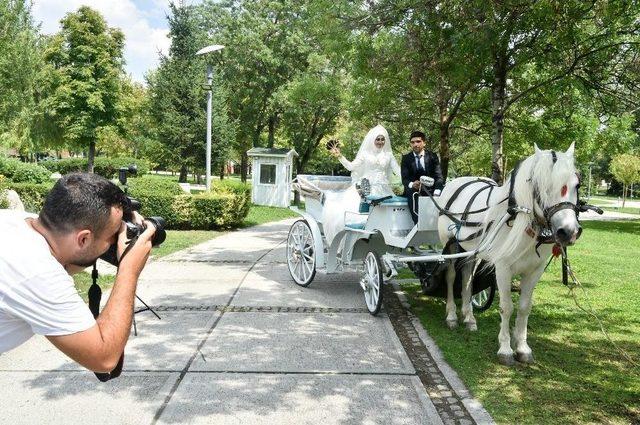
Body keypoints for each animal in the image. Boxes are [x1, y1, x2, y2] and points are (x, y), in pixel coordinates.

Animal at [438, 143, 584, 364]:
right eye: (541, 185)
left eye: (576, 185)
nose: (568, 232)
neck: (517, 217)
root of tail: (457, 182)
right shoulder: (503, 268)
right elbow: (506, 307)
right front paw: (505, 349)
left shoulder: (534, 271)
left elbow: (524, 307)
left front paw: (522, 347)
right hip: (451, 245)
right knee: (451, 276)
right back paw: (452, 316)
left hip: (473, 250)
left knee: (467, 277)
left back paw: (469, 317)